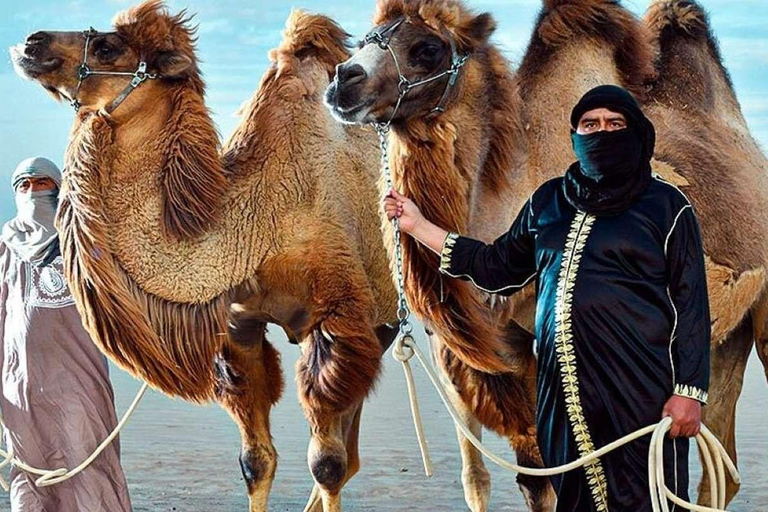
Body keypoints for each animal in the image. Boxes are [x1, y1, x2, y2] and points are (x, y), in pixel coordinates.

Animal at [11, 2, 399, 510]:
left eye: (109, 46)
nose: (30, 41)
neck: (257, 225)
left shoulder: (337, 317)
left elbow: (327, 465)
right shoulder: (239, 327)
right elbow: (257, 462)